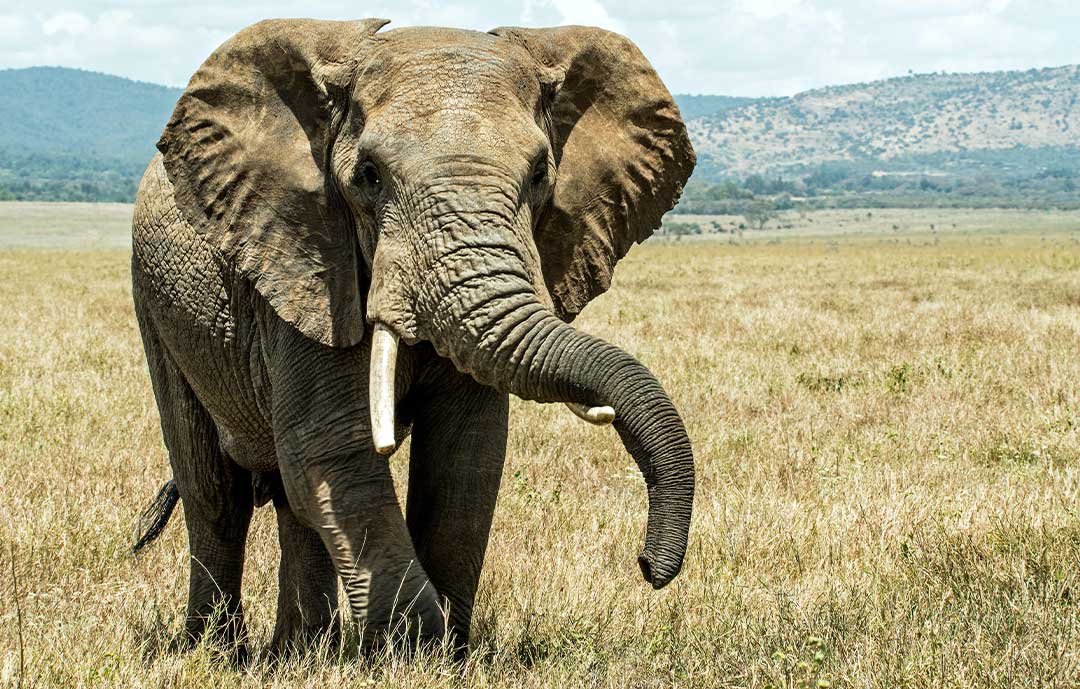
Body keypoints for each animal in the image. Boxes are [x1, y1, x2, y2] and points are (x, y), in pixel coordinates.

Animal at [130, 18, 695, 660]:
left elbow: (464, 457)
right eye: (369, 177)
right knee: (215, 492)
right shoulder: (308, 264)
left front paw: (446, 654)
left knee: (290, 498)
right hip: (157, 305)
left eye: (539, 175)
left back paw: (299, 654)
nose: (648, 566)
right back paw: (216, 653)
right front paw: (415, 649)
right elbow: (333, 447)